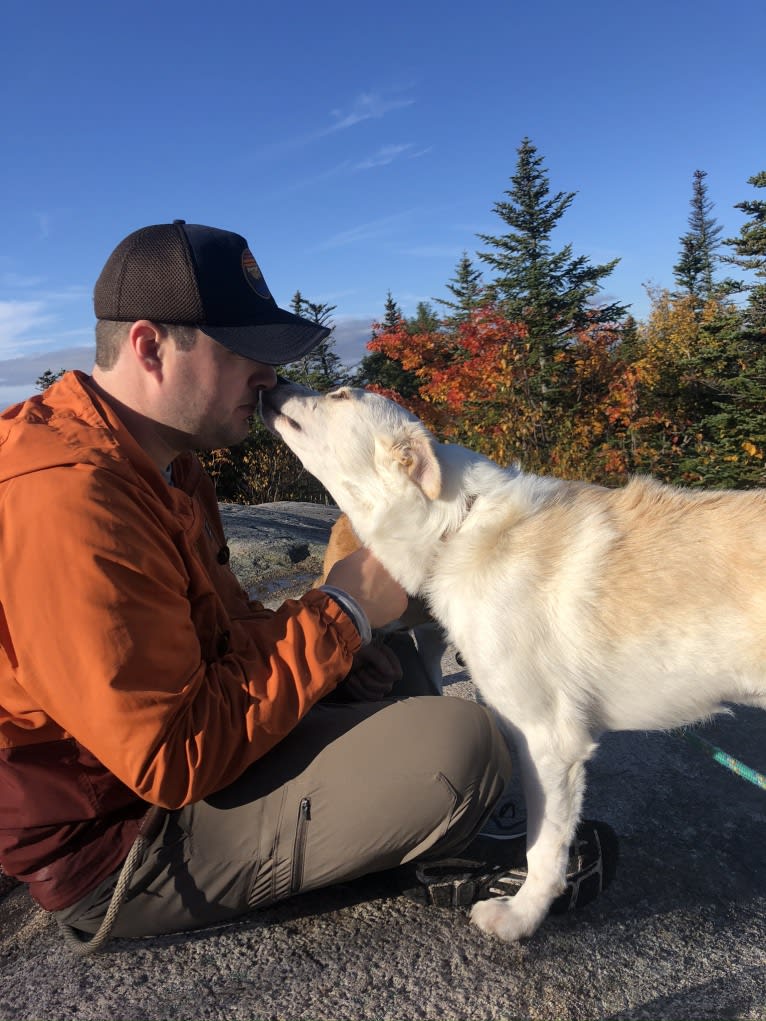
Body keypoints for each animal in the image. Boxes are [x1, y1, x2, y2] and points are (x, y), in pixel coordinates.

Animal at [261, 383, 763, 939]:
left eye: (340, 395)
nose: (274, 383)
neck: (457, 525)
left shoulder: (548, 741)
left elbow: (543, 847)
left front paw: (522, 917)